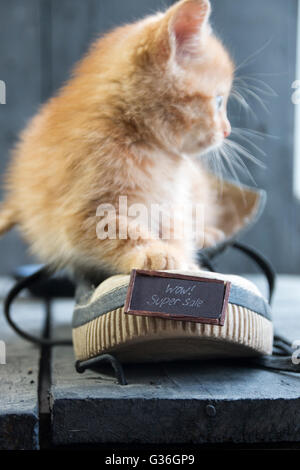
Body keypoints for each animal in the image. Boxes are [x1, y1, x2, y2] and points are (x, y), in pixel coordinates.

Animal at [0, 0, 234, 280]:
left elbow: (175, 230)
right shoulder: (82, 212)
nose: (227, 130)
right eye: (218, 102)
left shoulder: (172, 202)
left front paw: (185, 260)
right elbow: (119, 229)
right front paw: (154, 252)